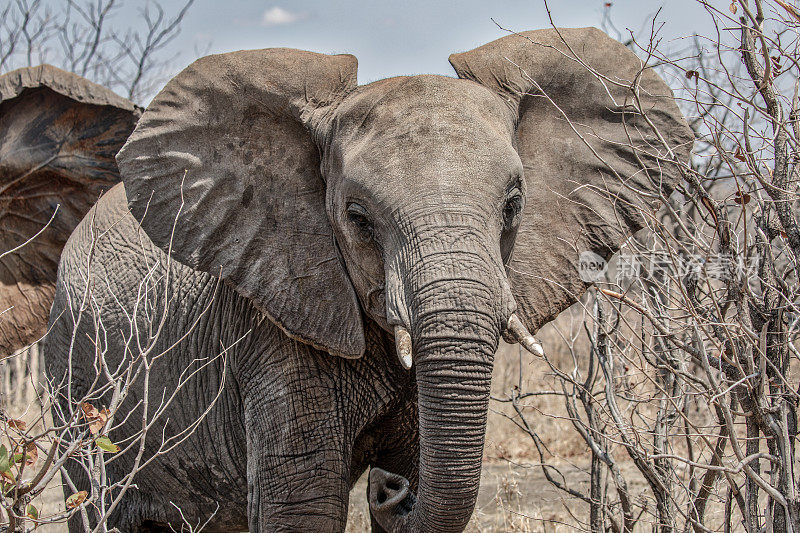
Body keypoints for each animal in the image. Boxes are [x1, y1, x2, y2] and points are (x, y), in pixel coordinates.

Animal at [28, 27, 692, 528]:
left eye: (513, 205)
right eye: (356, 216)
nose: (390, 490)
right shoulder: (274, 326)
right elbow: (302, 510)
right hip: (73, 386)